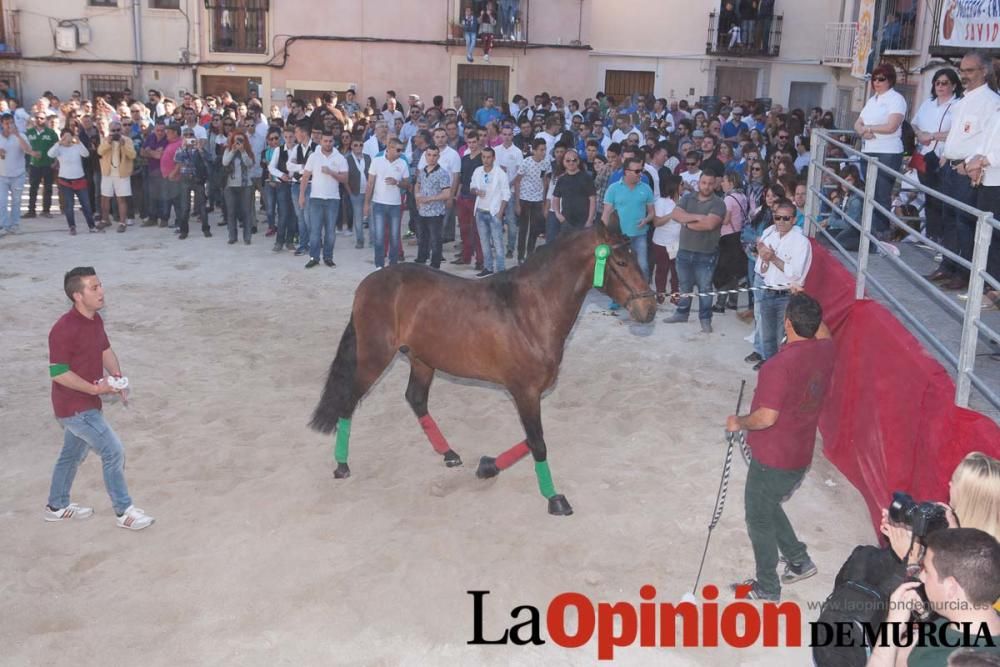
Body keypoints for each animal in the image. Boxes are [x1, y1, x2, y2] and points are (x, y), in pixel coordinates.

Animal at [310, 222, 656, 516]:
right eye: (621, 262)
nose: (649, 308)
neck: (530, 311)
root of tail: (368, 284)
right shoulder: (524, 392)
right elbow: (538, 442)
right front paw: (554, 499)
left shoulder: (529, 394)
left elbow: (531, 440)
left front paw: (487, 466)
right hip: (375, 358)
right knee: (349, 402)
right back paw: (342, 466)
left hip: (422, 359)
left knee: (415, 399)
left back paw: (449, 454)